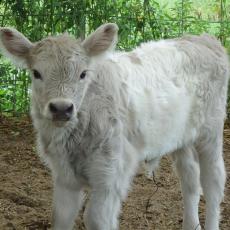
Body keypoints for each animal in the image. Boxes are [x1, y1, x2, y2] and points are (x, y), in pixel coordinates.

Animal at [0, 23, 228, 230]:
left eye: (83, 73)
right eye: (36, 73)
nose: (61, 108)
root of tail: (203, 39)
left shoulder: (110, 173)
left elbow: (96, 219)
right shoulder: (64, 175)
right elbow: (60, 217)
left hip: (211, 132)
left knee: (213, 183)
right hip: (181, 138)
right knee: (190, 180)